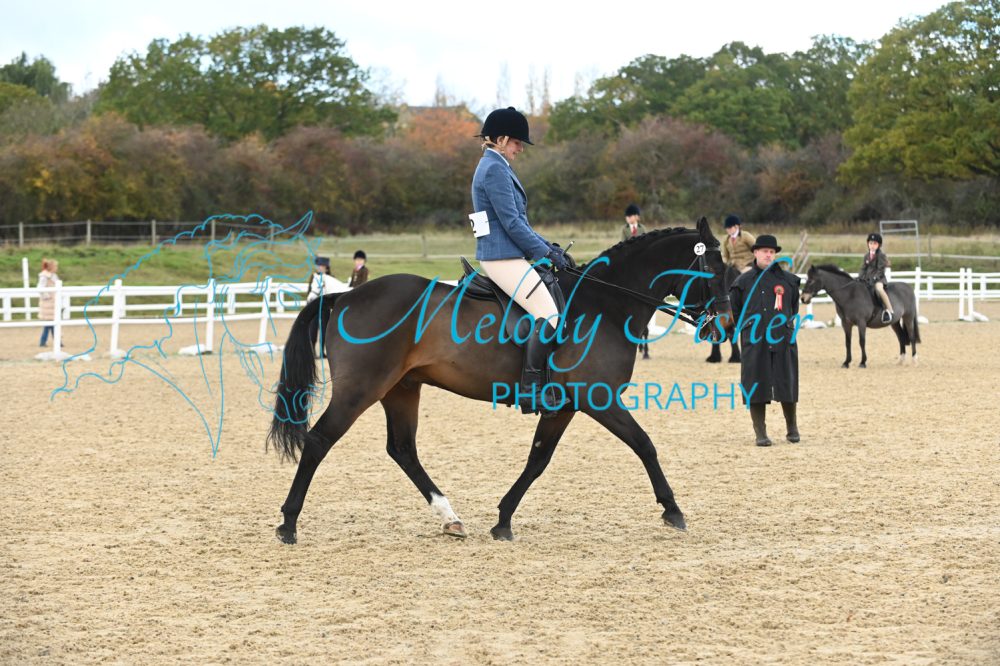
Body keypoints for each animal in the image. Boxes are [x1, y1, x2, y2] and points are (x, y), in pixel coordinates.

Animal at [266, 218, 734, 543]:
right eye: (713, 270)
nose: (725, 325)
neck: (606, 303)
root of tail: (346, 296)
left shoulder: (565, 405)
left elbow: (538, 459)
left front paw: (503, 519)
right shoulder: (598, 399)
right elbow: (644, 444)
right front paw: (673, 510)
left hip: (402, 389)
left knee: (402, 450)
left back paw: (451, 519)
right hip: (361, 389)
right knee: (319, 440)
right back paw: (288, 523)